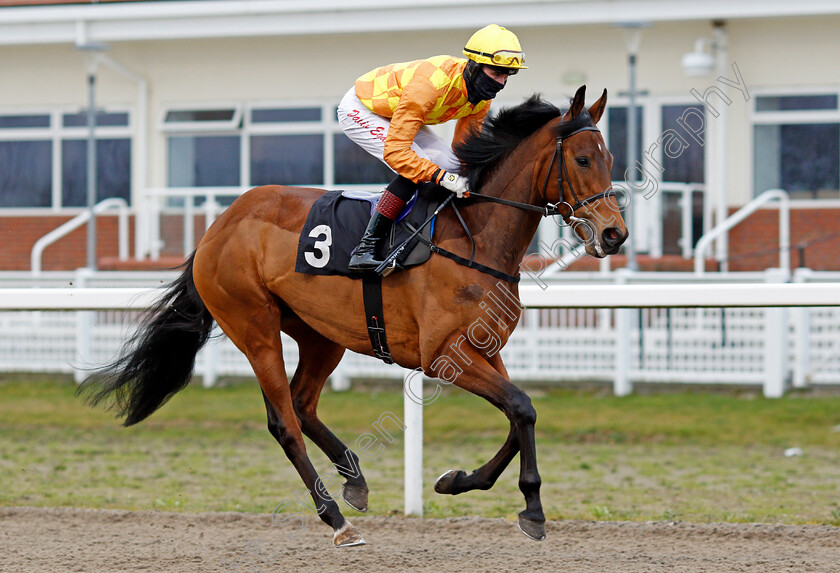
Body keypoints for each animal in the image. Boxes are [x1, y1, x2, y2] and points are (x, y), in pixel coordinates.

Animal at [82, 85, 628, 544]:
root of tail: (219, 225)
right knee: (284, 421)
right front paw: (532, 509)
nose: (614, 234)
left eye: (609, 158)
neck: (476, 237)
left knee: (302, 404)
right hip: (253, 326)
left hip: (322, 334)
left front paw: (456, 481)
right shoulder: (443, 355)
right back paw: (336, 519)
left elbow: (519, 415)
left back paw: (356, 480)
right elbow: (522, 408)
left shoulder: (485, 348)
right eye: (583, 159)